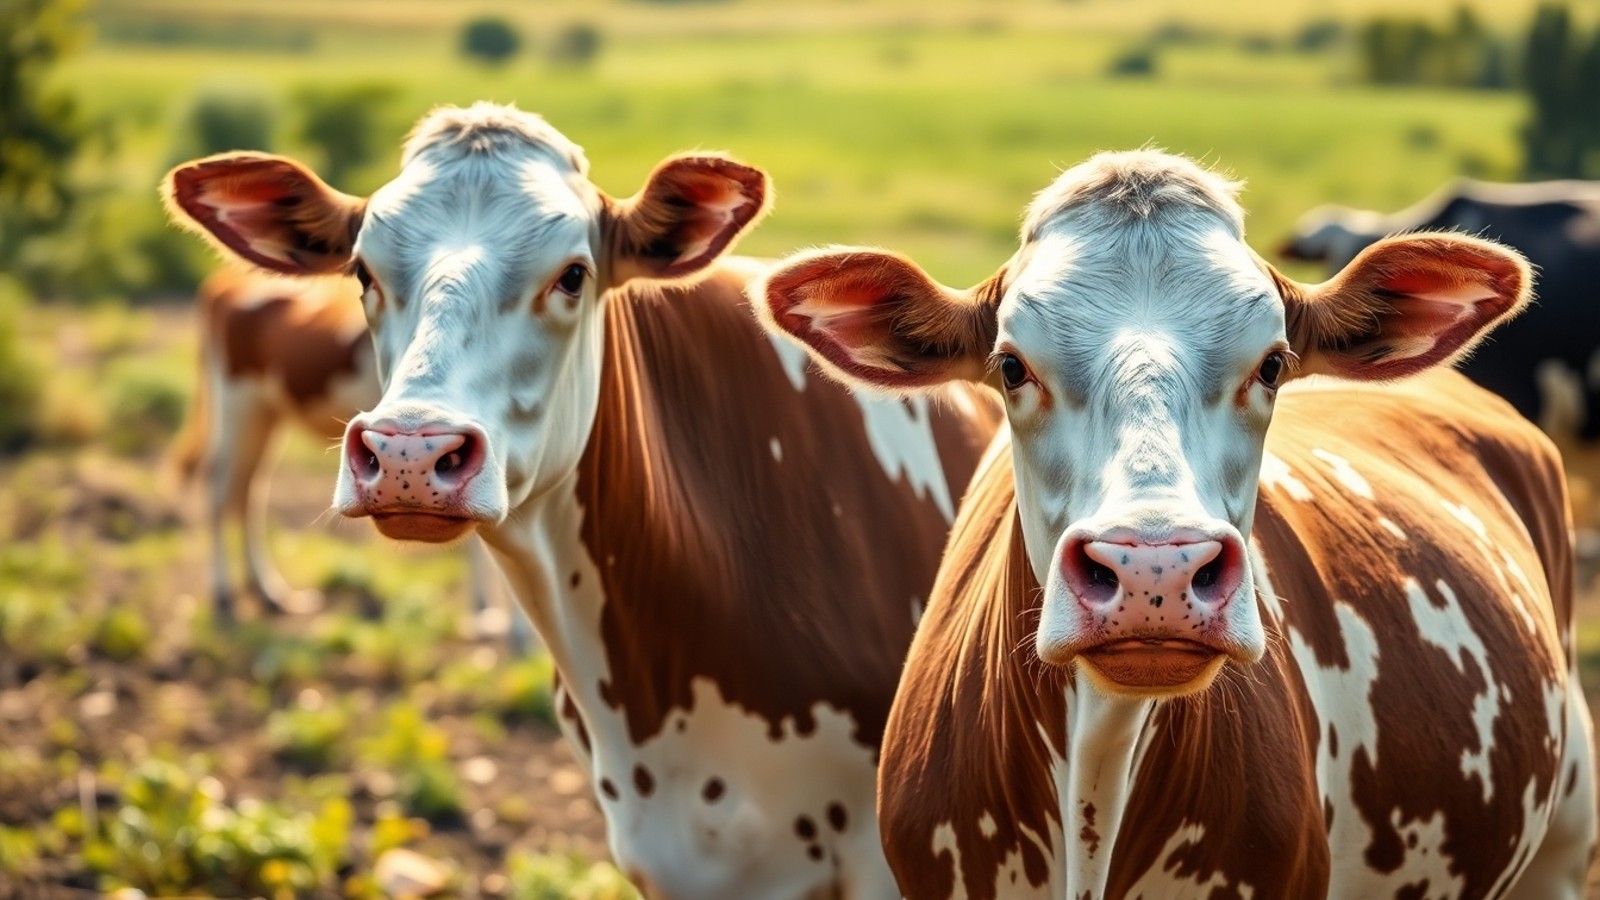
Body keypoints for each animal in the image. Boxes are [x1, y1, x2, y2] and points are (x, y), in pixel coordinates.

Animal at [168, 265, 528, 649]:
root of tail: (224, 278)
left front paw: (490, 615)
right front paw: (514, 630)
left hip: (267, 412)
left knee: (248, 488)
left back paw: (267, 592)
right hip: (236, 400)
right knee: (221, 487)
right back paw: (224, 596)